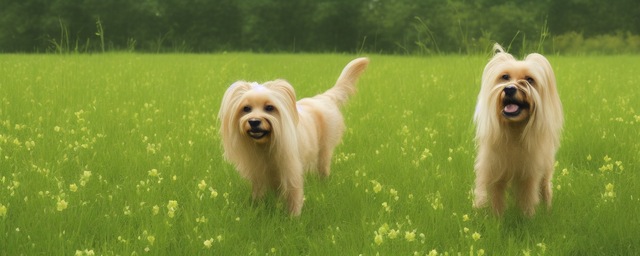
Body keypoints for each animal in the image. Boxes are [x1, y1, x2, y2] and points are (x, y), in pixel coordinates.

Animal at [220, 58, 370, 216]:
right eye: (246, 108)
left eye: (269, 107)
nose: (254, 121)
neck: (266, 144)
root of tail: (324, 98)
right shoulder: (259, 171)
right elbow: (258, 192)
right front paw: (256, 208)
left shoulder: (291, 168)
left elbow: (294, 193)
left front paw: (293, 216)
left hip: (325, 149)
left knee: (323, 167)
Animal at [472, 44, 564, 218]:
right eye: (505, 77)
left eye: (529, 80)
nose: (508, 89)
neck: (514, 128)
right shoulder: (494, 170)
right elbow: (496, 199)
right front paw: (496, 220)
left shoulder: (529, 174)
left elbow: (527, 199)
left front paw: (527, 218)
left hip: (546, 168)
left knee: (546, 188)